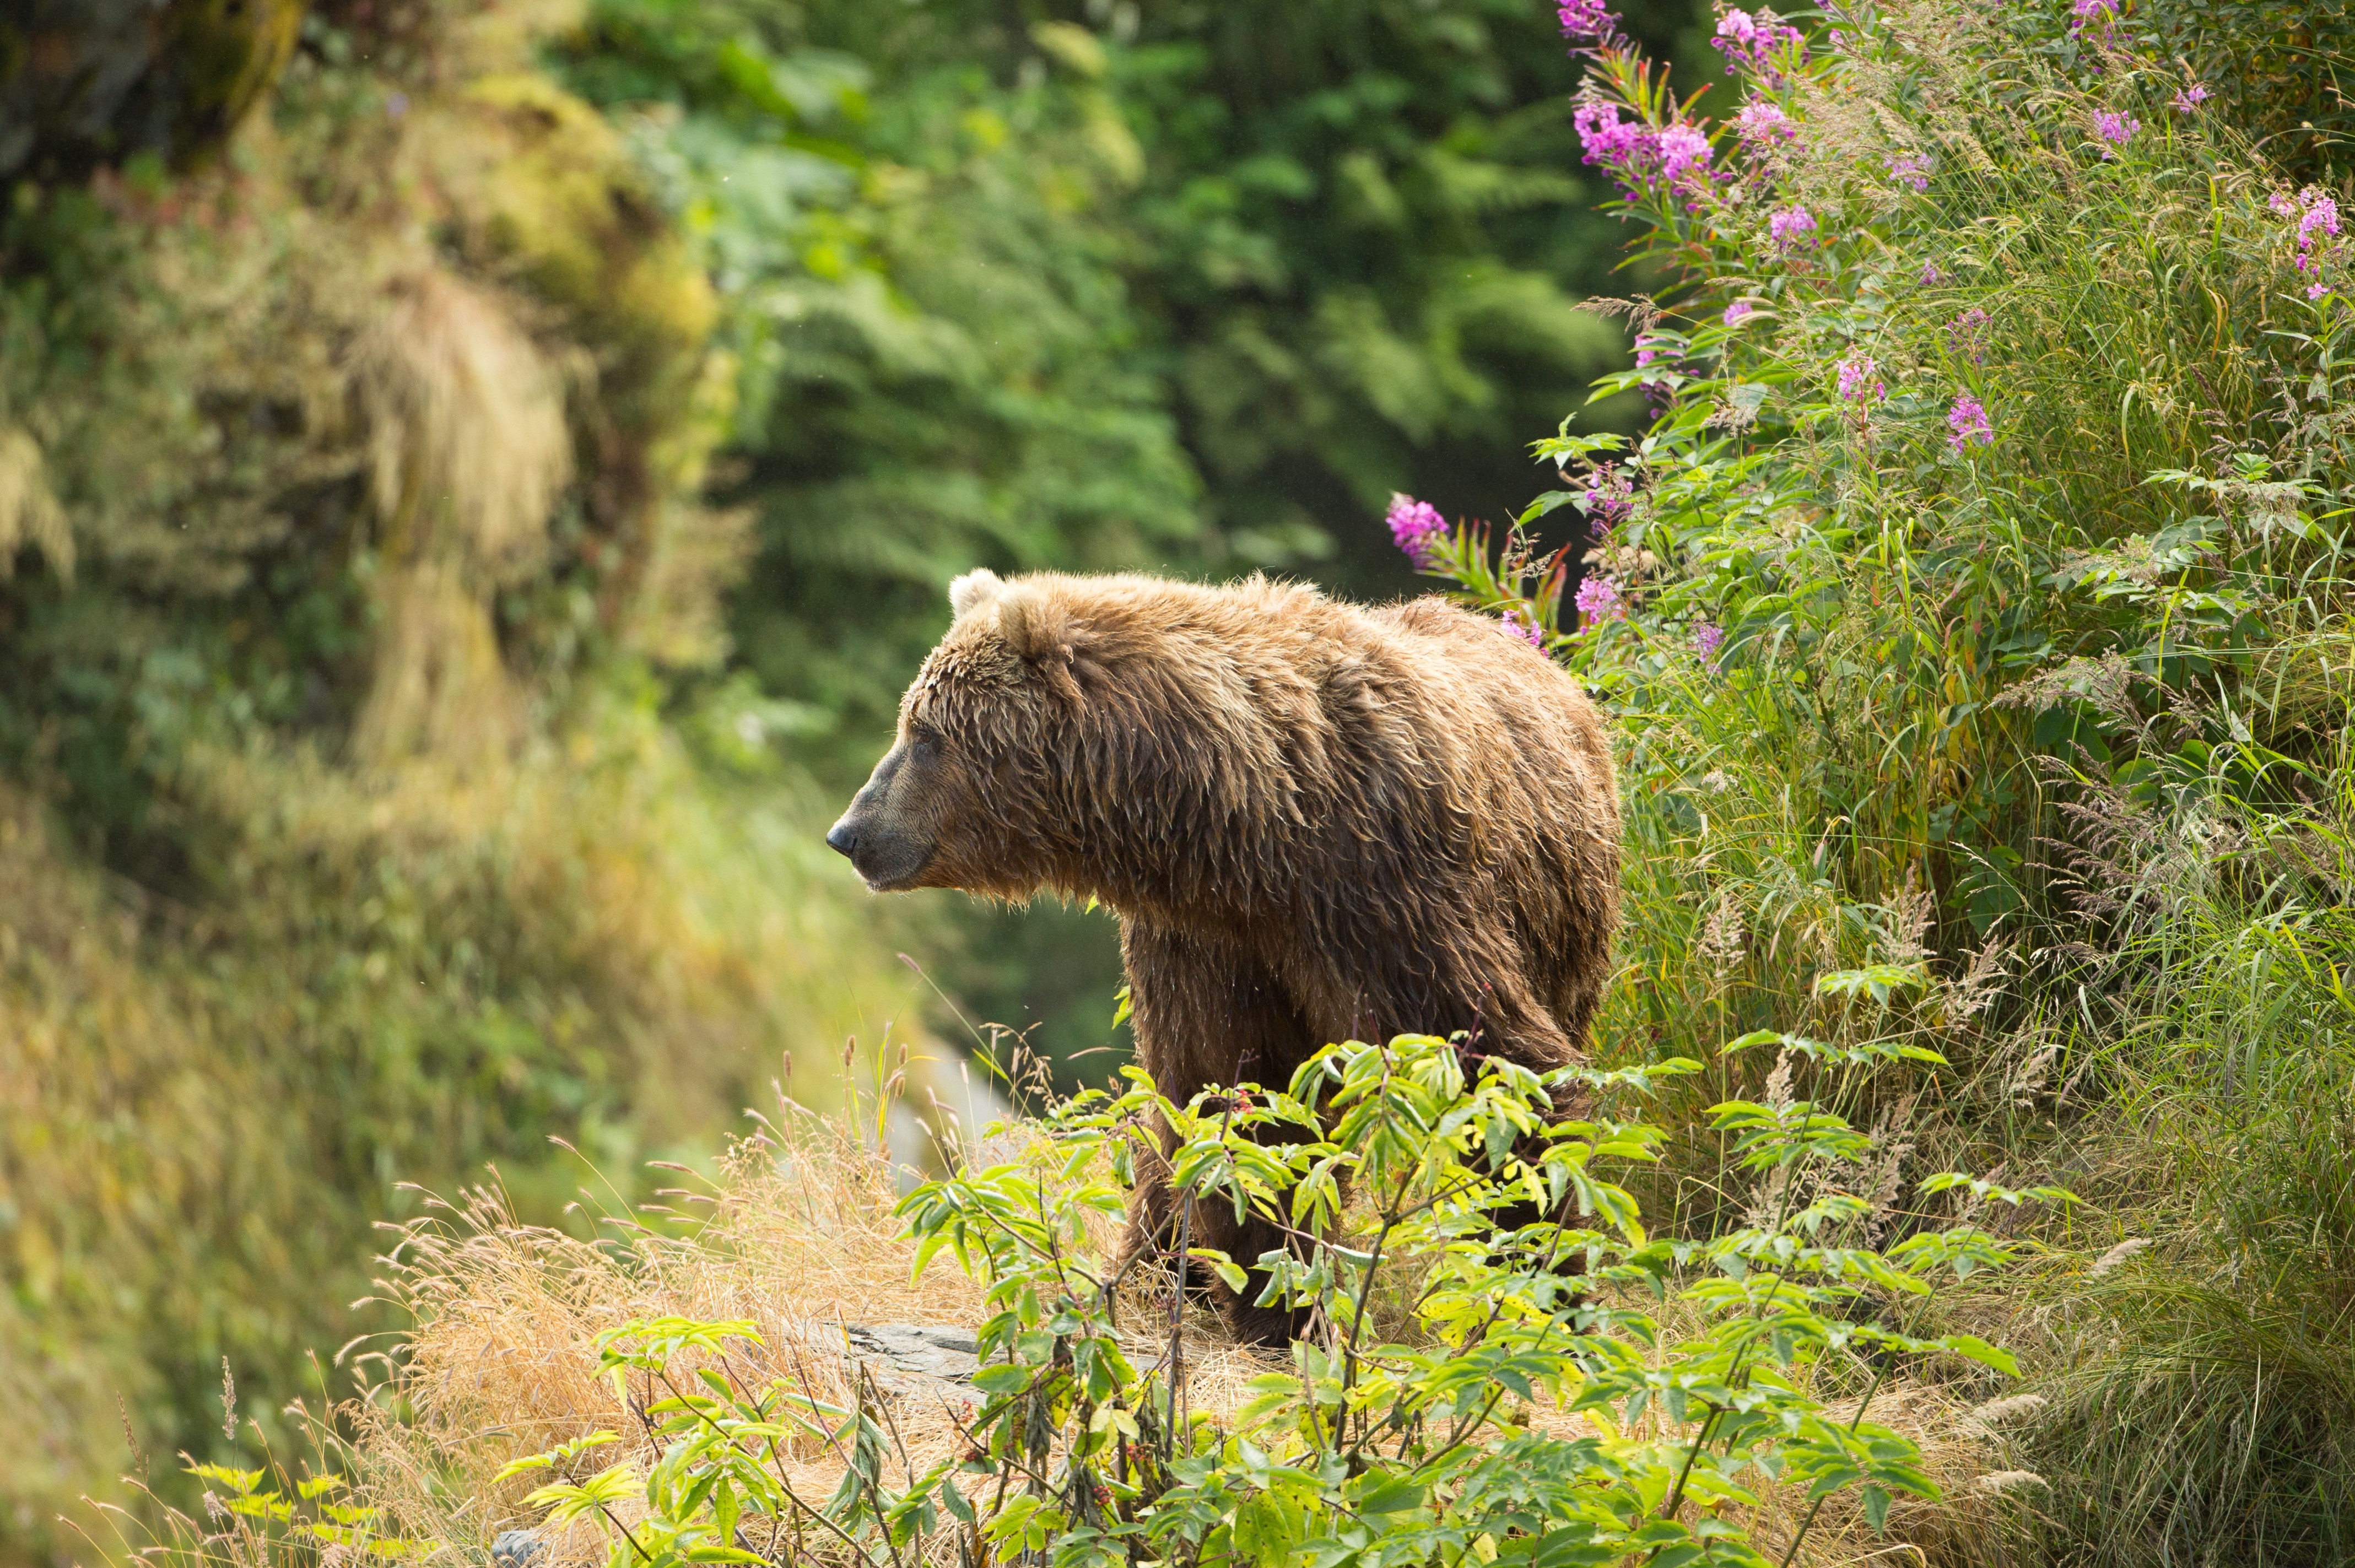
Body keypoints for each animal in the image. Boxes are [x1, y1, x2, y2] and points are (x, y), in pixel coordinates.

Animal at [825, 569, 1621, 1341]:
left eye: (925, 732)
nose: (850, 832)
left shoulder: (1381, 894)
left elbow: (1491, 1064)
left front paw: (1536, 1278)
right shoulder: (1210, 943)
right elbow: (1234, 1092)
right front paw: (1248, 1291)